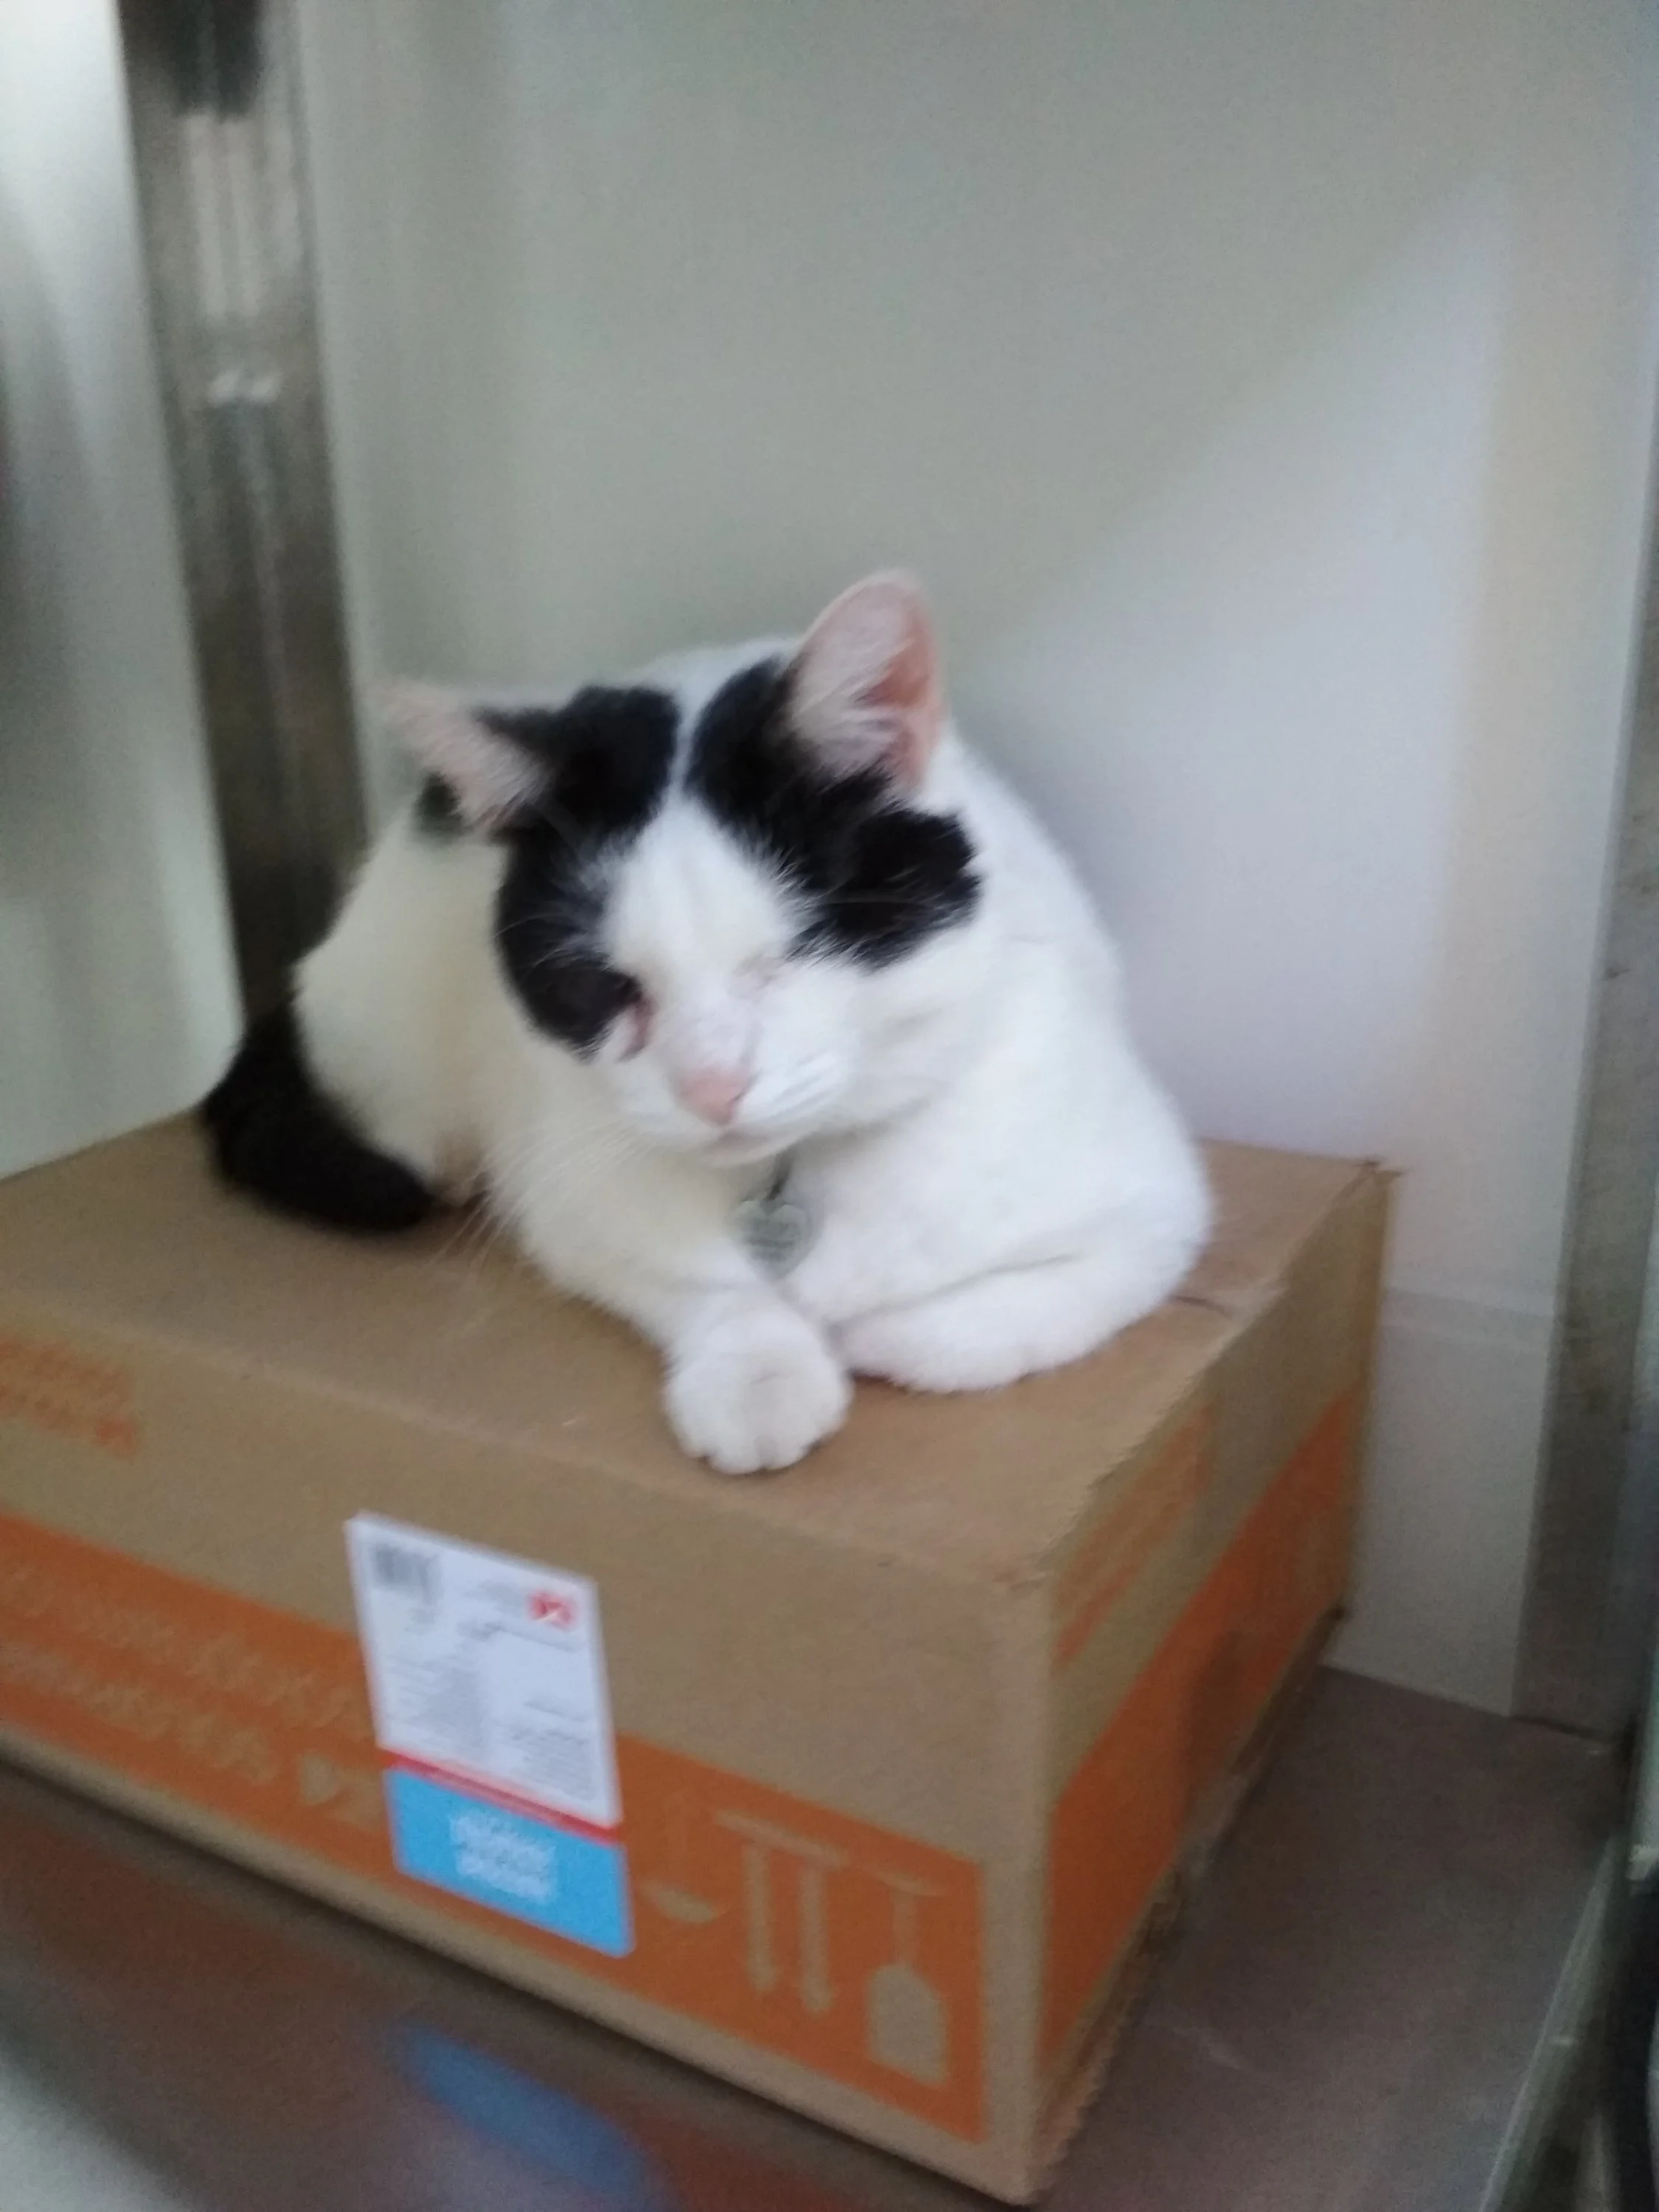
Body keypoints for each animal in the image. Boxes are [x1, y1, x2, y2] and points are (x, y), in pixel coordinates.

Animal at [202, 573, 1210, 1473]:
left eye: (790, 952)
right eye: (606, 985)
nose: (712, 1087)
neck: (794, 1179)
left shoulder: (1157, 1209)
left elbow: (1006, 1313)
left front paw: (880, 1332)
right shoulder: (570, 1203)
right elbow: (703, 1284)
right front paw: (759, 1375)